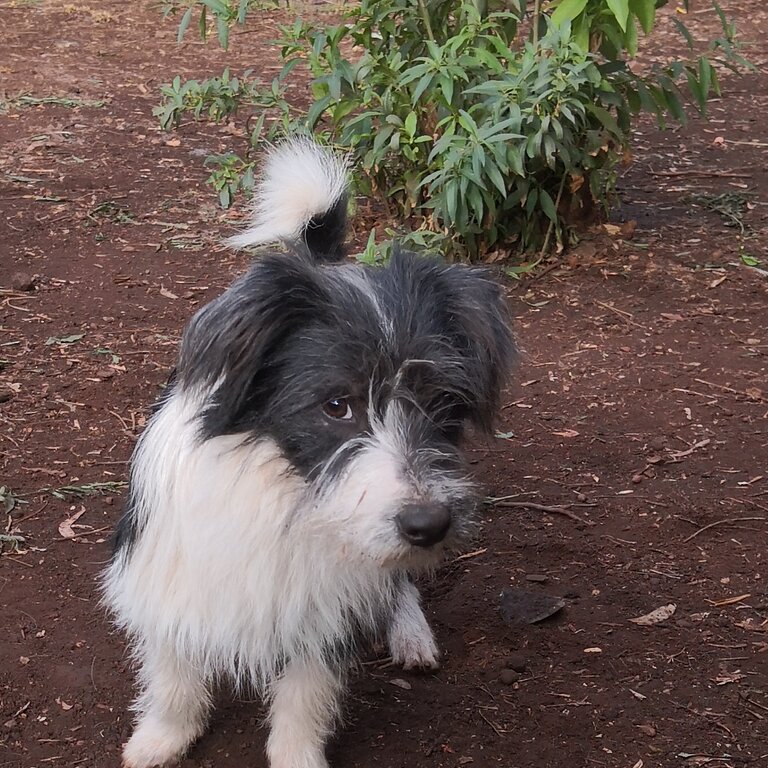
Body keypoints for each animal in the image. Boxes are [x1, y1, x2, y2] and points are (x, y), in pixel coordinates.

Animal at [103, 138, 516, 768]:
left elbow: (306, 694)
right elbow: (173, 669)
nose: (429, 525)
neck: (286, 488)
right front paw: (161, 737)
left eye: (443, 403)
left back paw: (411, 631)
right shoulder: (169, 571)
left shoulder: (325, 608)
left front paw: (296, 754)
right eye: (337, 404)